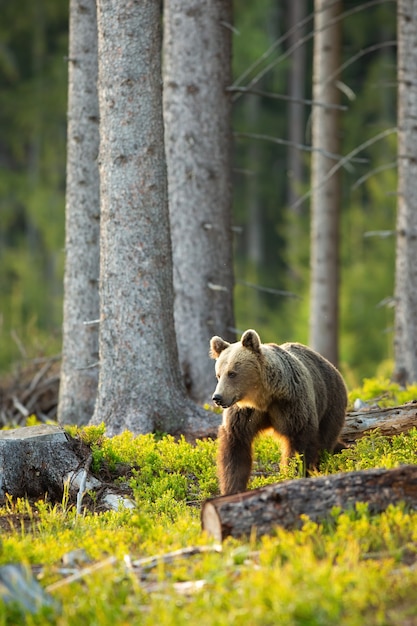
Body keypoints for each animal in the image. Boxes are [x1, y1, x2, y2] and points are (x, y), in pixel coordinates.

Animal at [210, 330, 346, 494]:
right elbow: (235, 449)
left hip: (330, 403)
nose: (217, 397)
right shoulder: (244, 414)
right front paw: (232, 488)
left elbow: (300, 443)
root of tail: (333, 367)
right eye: (218, 374)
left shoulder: (291, 405)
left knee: (325, 439)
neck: (263, 398)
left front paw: (295, 472)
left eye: (232, 373)